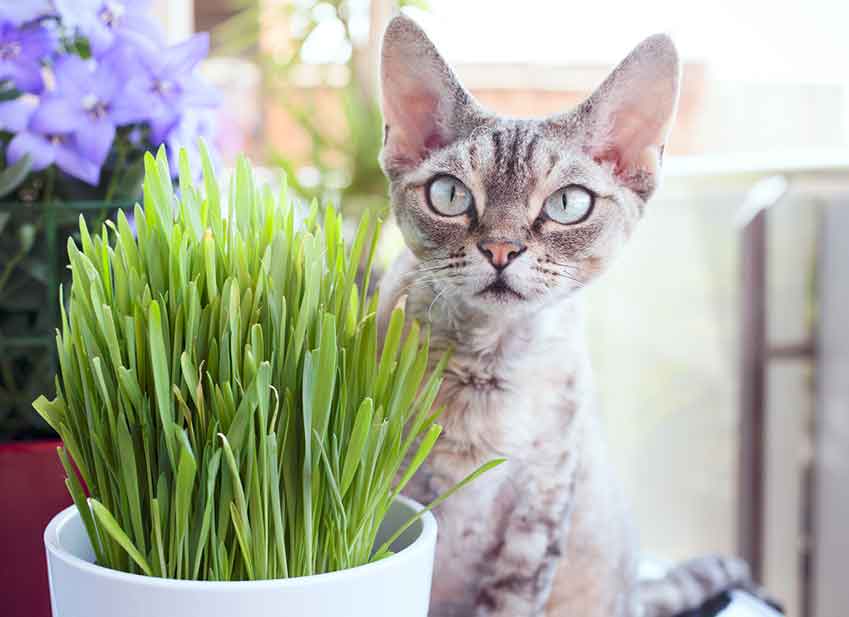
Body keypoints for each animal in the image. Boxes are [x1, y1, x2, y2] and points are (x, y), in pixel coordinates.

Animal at [374, 14, 752, 616]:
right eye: (450, 195)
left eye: (568, 204)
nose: (500, 249)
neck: (489, 368)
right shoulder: (402, 494)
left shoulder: (539, 511)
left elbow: (510, 603)